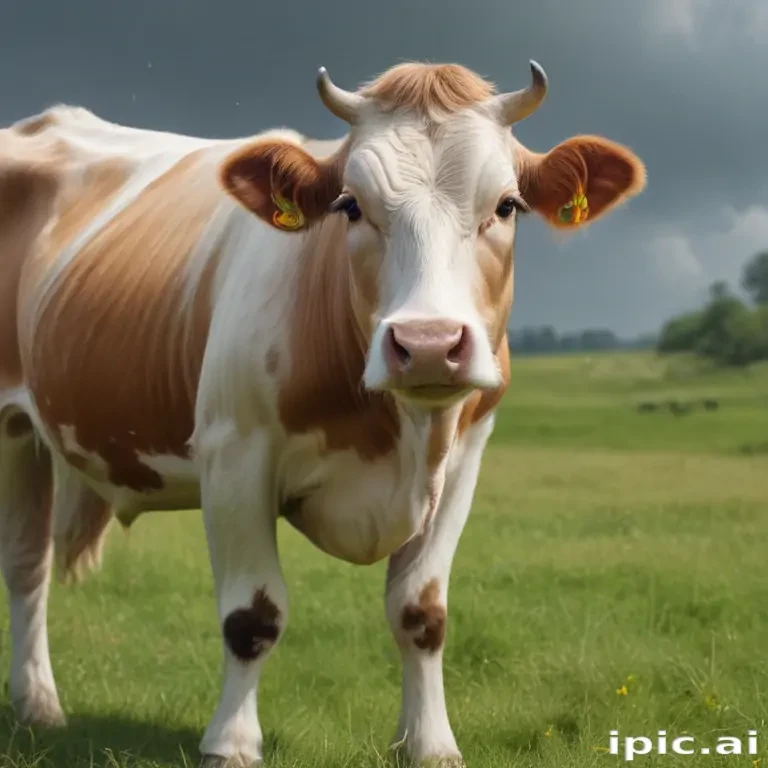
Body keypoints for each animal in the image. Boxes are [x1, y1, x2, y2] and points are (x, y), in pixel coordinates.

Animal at [0, 61, 646, 766]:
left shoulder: (463, 461)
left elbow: (422, 613)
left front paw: (429, 742)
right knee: (26, 567)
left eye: (506, 206)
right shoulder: (234, 454)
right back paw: (38, 703)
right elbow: (252, 616)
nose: (427, 344)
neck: (396, 435)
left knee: (29, 564)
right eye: (351, 206)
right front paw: (231, 741)